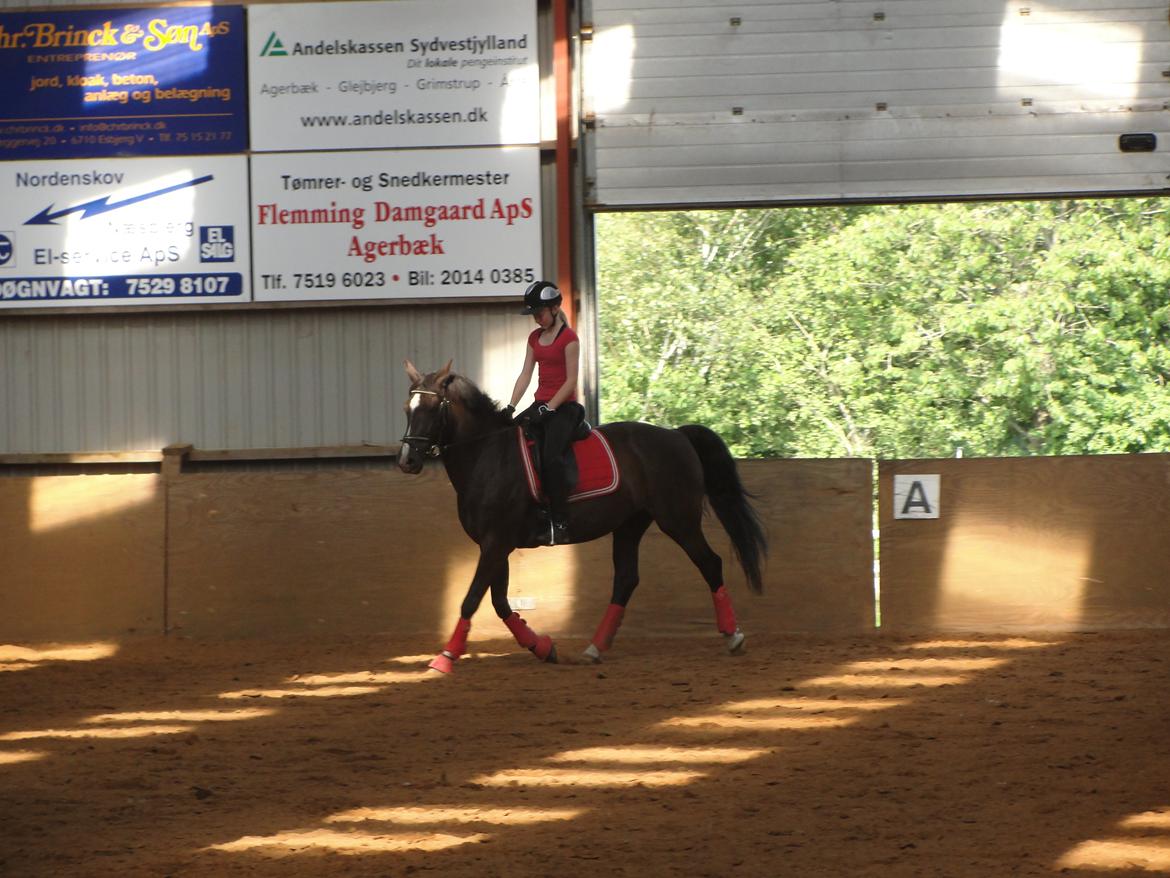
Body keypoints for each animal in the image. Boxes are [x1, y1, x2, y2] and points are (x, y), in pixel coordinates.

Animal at [397, 358, 772, 674]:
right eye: (407, 408)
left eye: (431, 408)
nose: (407, 461)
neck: (488, 455)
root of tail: (676, 435)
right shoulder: (493, 545)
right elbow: (500, 603)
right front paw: (542, 647)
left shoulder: (495, 543)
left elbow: (472, 599)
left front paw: (445, 657)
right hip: (630, 524)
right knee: (626, 579)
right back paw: (595, 648)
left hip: (678, 519)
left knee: (710, 563)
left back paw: (733, 636)